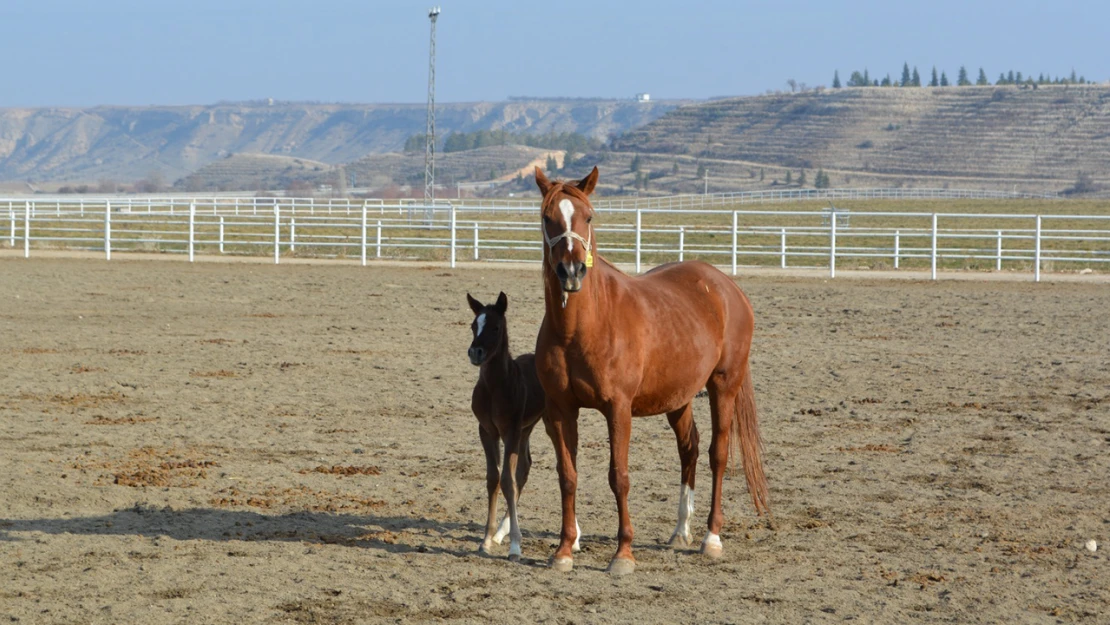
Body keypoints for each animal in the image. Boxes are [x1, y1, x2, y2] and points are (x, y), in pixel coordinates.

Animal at [466, 293, 581, 561]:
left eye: (496, 327)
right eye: (474, 325)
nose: (475, 352)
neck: (494, 387)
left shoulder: (510, 430)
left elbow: (508, 481)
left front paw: (515, 546)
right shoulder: (487, 430)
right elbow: (494, 478)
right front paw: (487, 539)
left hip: (548, 422)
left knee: (565, 463)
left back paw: (576, 539)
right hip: (527, 428)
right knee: (525, 467)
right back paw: (501, 532)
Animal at [532, 167, 768, 577]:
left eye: (588, 217)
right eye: (549, 219)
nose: (572, 272)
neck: (581, 327)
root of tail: (726, 287)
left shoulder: (618, 409)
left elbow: (619, 477)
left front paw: (623, 553)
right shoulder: (560, 410)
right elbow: (568, 477)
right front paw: (564, 549)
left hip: (724, 385)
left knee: (717, 454)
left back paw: (711, 538)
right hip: (679, 398)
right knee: (689, 450)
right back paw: (680, 532)